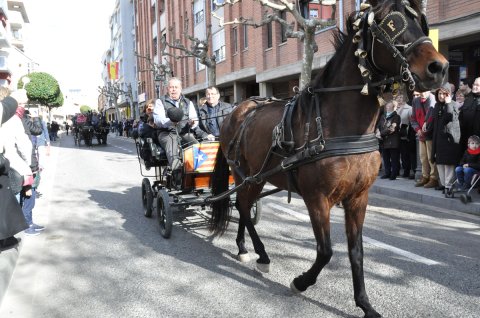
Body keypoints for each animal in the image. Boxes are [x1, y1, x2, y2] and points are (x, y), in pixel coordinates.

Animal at [209, 1, 446, 316]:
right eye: (389, 24)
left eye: (421, 22)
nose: (439, 67)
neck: (338, 126)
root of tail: (237, 110)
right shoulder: (317, 198)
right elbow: (326, 251)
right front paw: (300, 282)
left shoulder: (358, 197)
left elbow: (356, 252)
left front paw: (364, 303)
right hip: (245, 174)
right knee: (244, 207)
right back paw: (260, 253)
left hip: (254, 179)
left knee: (244, 207)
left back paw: (244, 247)